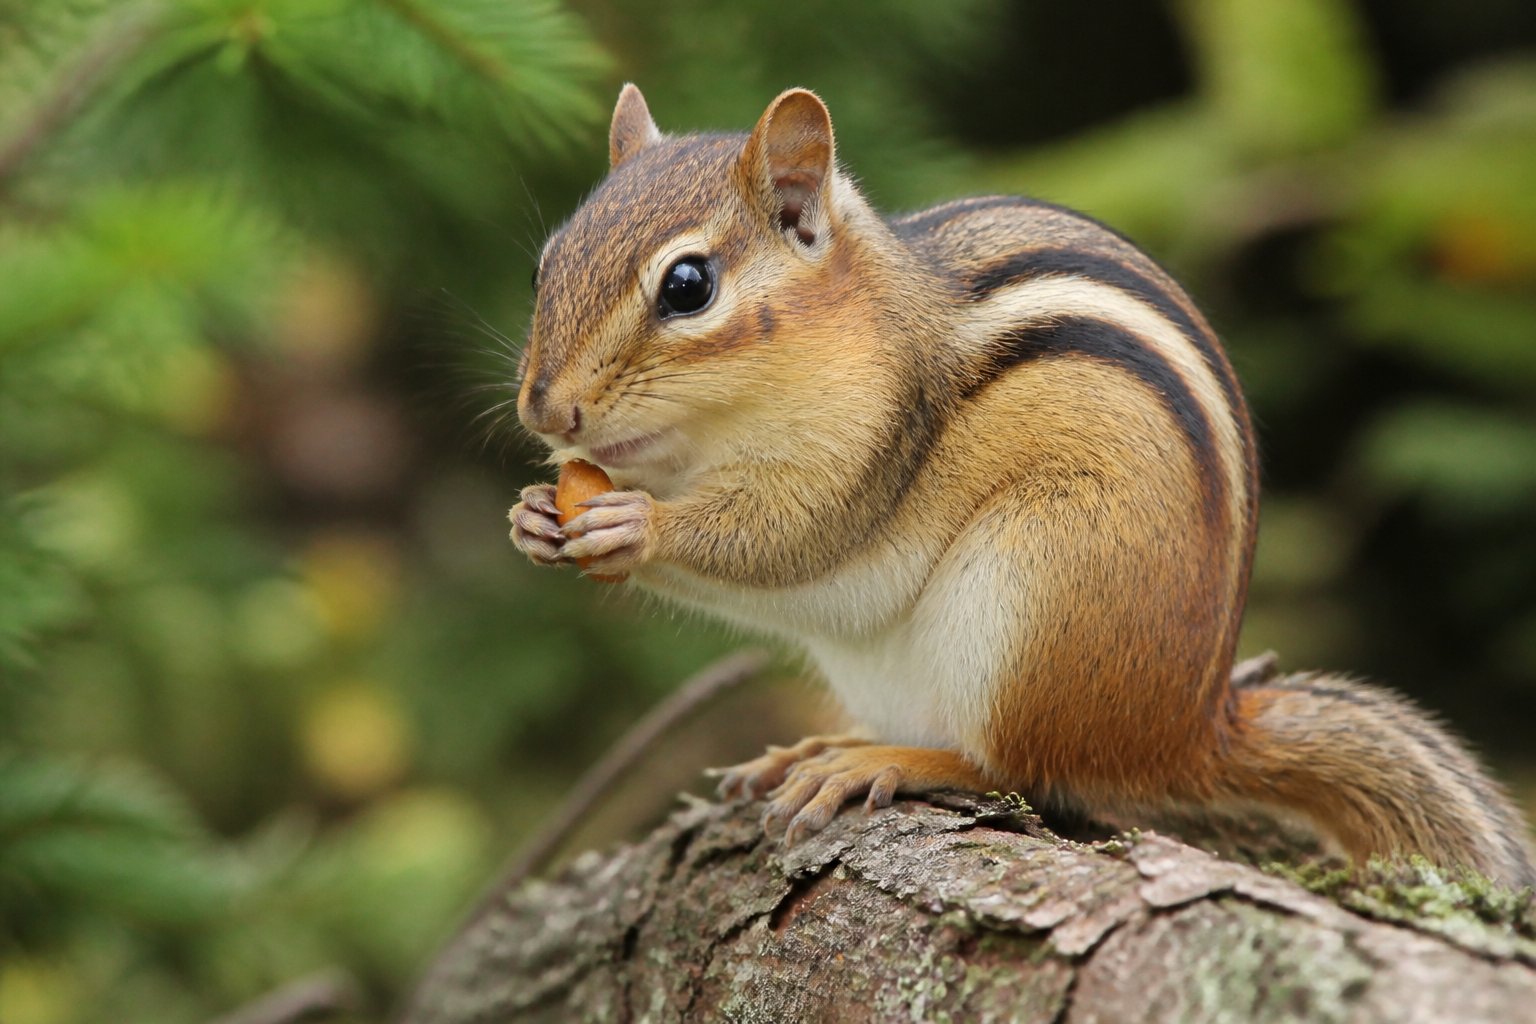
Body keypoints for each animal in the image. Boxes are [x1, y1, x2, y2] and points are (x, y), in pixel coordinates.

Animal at [507, 84, 1536, 889]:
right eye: (546, 261)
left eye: (688, 286)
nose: (545, 409)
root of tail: (1187, 730)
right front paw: (534, 516)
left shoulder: (868, 448)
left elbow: (787, 539)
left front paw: (635, 526)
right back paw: (821, 746)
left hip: (1031, 592)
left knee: (1013, 768)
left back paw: (885, 760)